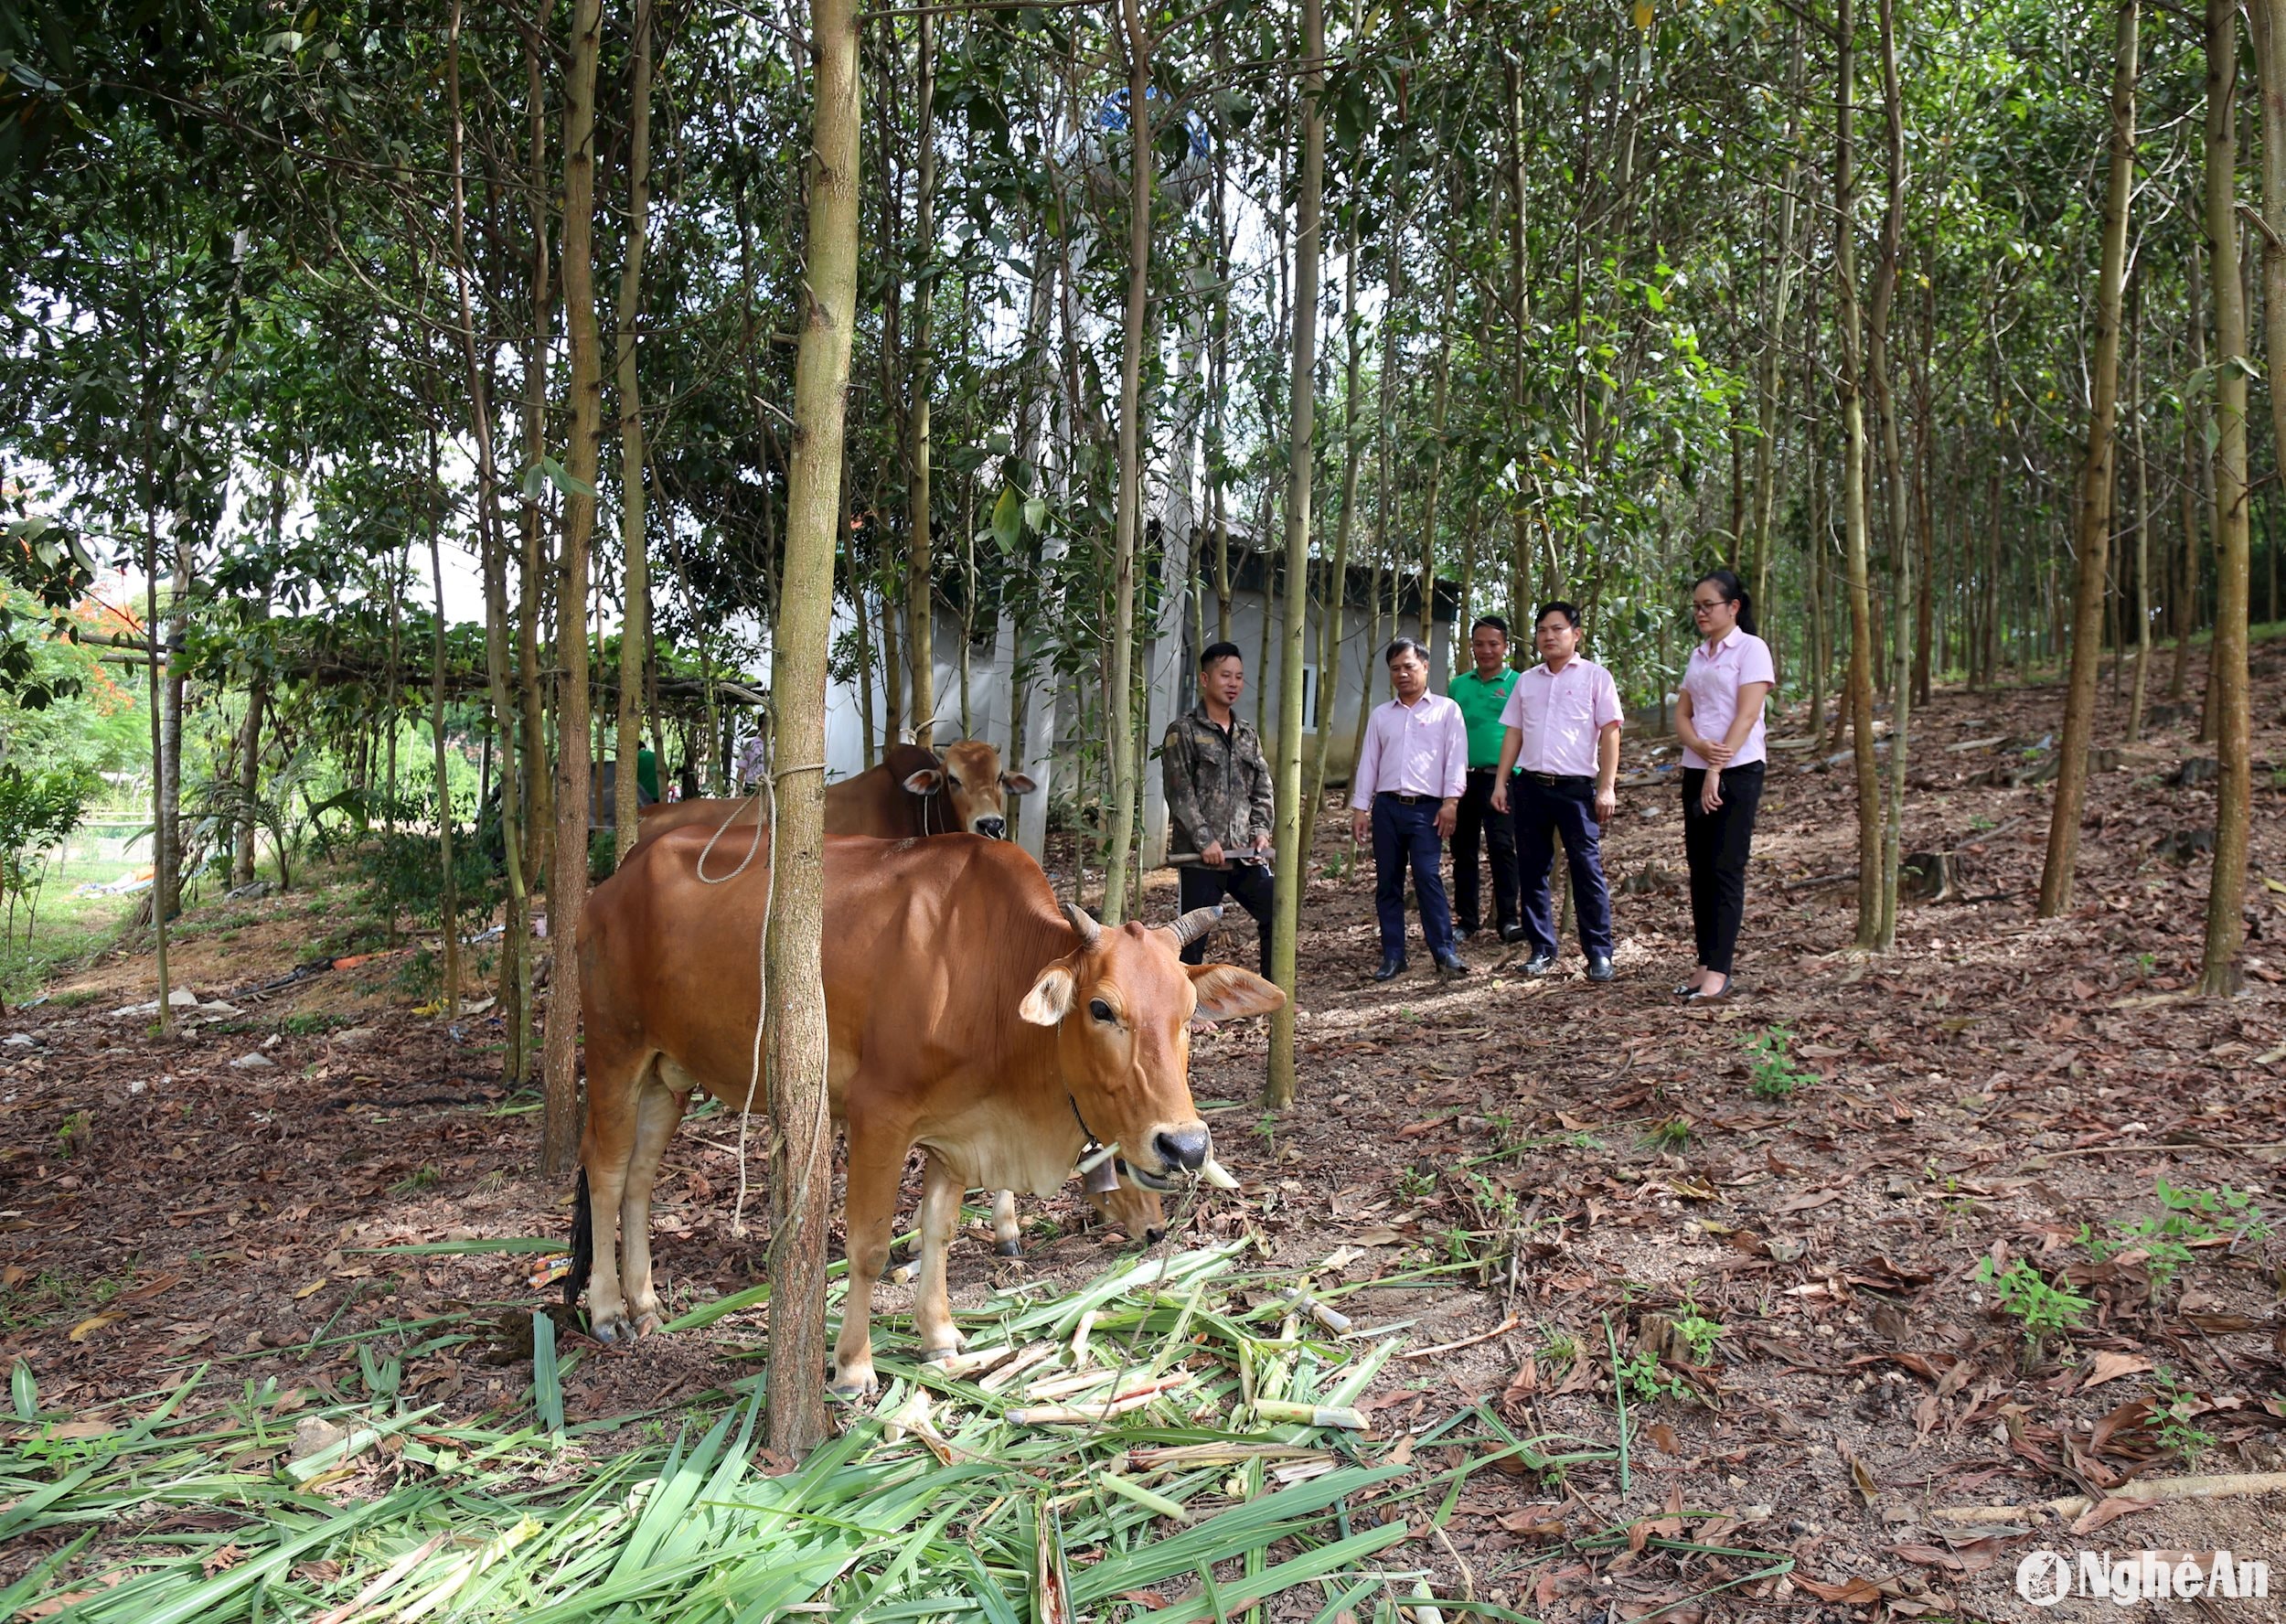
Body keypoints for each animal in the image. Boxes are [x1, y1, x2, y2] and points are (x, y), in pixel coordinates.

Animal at [567, 832, 1289, 1390]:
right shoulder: (878, 1117)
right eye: (1101, 1008)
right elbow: (867, 1245)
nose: (1185, 1147)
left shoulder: (956, 1131)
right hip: (614, 1049)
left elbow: (938, 1229)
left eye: (1190, 1013)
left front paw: (940, 1335)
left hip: (669, 1072)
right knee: (605, 1168)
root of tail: (614, 880)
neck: (988, 973)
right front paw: (854, 1366)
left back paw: (646, 1303)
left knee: (640, 1179)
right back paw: (606, 1311)